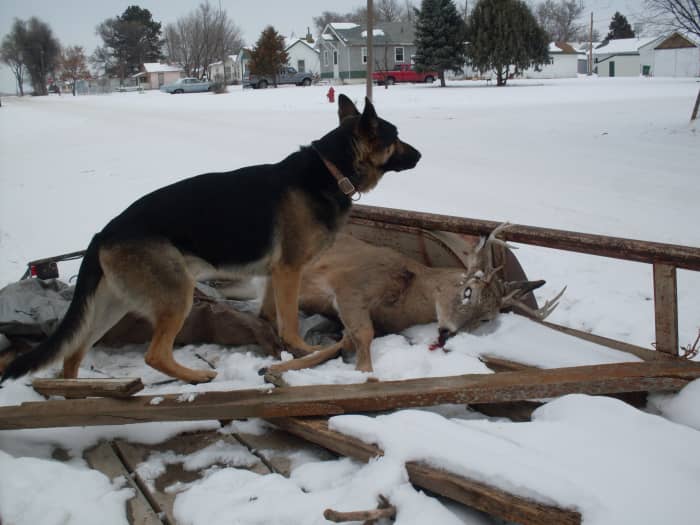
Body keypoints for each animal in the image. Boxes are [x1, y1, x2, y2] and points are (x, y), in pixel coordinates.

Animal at [1, 96, 422, 384]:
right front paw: (306, 351)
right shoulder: (289, 271)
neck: (332, 170)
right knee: (154, 355)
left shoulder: (274, 276)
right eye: (396, 137)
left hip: (113, 305)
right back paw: (196, 376)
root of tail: (104, 232)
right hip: (177, 295)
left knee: (72, 353)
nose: (420, 154)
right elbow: (289, 323)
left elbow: (270, 317)